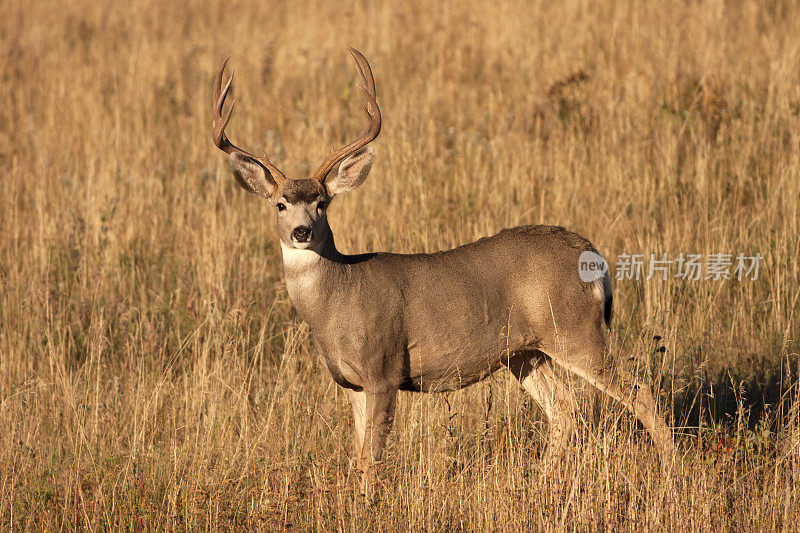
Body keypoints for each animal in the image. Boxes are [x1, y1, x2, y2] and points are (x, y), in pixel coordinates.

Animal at [211, 47, 676, 488]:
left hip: (576, 329)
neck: (338, 298)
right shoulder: (351, 384)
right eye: (280, 204)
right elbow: (357, 456)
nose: (302, 231)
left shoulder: (383, 370)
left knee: (639, 389)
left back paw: (673, 472)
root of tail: (591, 254)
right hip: (526, 352)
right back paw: (543, 482)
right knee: (565, 409)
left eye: (322, 202)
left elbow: (370, 459)